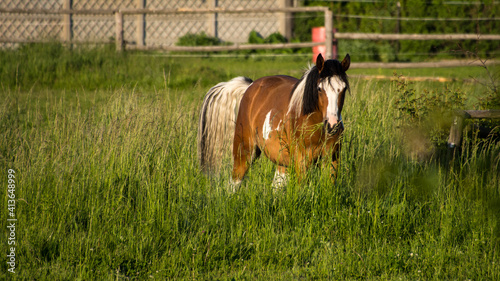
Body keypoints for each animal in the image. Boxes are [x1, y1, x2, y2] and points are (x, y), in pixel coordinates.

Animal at [197, 54, 350, 190]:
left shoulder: (332, 159)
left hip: (282, 161)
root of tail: (250, 86)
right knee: (235, 182)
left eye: (343, 89)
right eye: (319, 88)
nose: (332, 125)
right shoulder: (301, 161)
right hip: (244, 150)